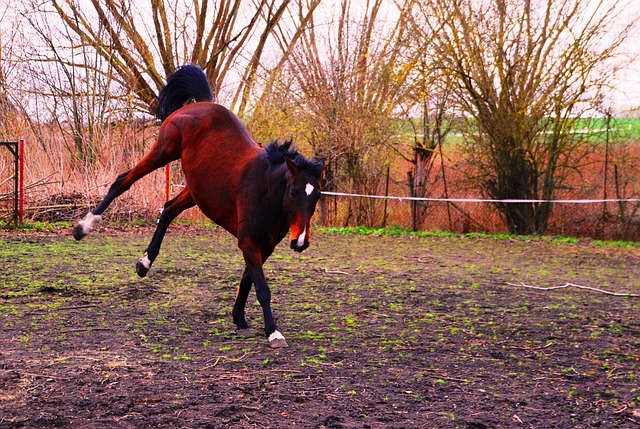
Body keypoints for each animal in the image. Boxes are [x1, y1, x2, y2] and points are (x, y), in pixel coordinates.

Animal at [74, 66, 324, 348]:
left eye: (317, 196)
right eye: (293, 192)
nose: (300, 242)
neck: (266, 189)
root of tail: (201, 104)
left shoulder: (265, 246)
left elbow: (247, 280)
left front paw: (239, 317)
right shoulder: (249, 242)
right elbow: (261, 287)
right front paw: (273, 332)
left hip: (196, 189)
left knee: (168, 209)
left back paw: (144, 263)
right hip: (164, 151)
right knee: (122, 182)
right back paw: (84, 227)